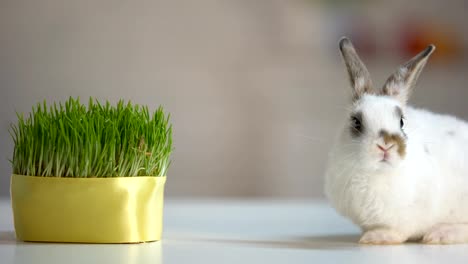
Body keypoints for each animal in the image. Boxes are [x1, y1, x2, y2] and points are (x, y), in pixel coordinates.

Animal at [324, 36, 468, 244]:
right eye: (356, 122)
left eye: (401, 121)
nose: (386, 145)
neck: (376, 174)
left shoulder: (410, 217)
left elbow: (399, 231)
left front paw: (376, 237)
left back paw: (441, 233)